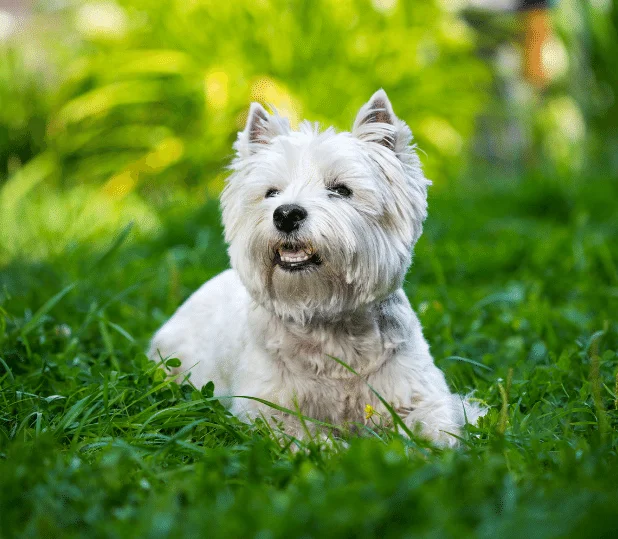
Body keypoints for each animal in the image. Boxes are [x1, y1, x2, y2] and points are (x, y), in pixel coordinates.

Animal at [148, 89, 482, 448]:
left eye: (341, 189)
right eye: (271, 193)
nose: (286, 214)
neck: (328, 322)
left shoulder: (421, 393)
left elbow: (440, 428)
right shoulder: (265, 408)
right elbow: (307, 437)